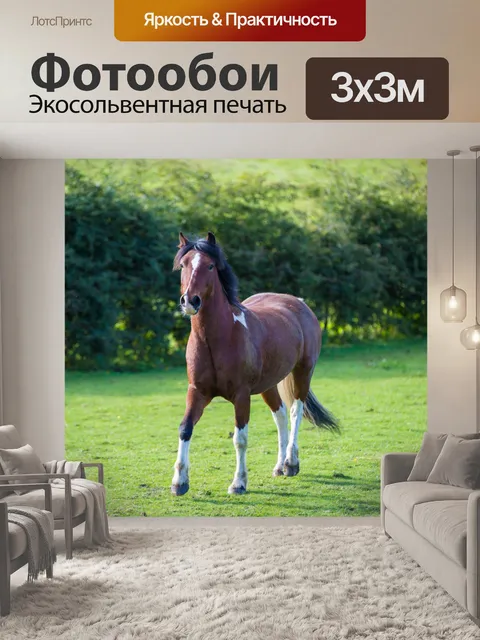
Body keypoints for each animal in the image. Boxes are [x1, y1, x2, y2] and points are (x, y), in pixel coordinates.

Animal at [171, 231, 339, 496]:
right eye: (184, 264)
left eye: (210, 265)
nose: (190, 300)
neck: (219, 337)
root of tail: (298, 303)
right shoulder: (197, 391)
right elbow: (185, 428)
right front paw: (179, 482)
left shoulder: (241, 396)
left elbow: (240, 438)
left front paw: (238, 483)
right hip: (268, 385)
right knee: (280, 415)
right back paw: (279, 466)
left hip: (303, 373)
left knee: (295, 412)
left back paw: (291, 463)